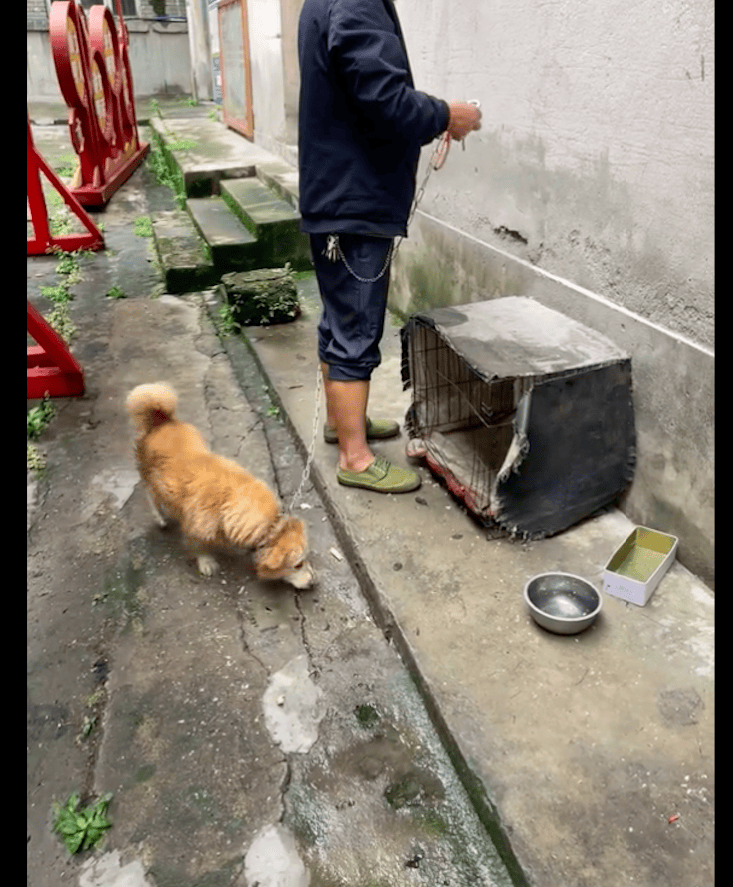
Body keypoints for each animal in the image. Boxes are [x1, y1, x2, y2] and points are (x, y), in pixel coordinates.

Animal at [126, 382, 314, 588]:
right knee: (150, 495)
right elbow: (198, 546)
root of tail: (161, 420)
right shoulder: (195, 527)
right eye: (297, 565)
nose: (314, 582)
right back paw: (160, 517)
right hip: (150, 477)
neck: (229, 499)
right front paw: (206, 562)